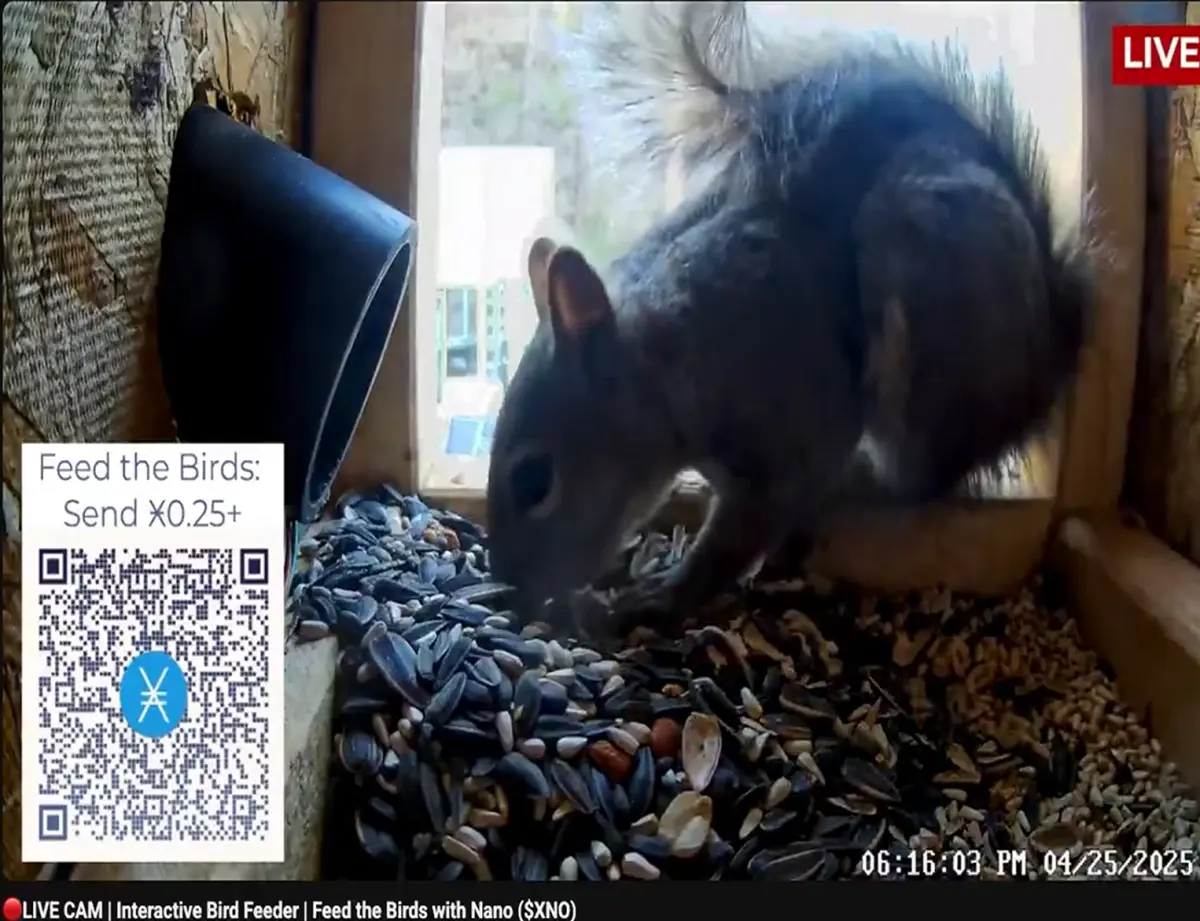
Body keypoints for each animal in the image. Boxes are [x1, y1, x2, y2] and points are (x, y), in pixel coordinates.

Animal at [484, 1, 1100, 624]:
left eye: (534, 480)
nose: (511, 594)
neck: (679, 352)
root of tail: (1048, 354)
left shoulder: (794, 423)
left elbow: (745, 529)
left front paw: (663, 593)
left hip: (925, 284)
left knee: (925, 475)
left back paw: (865, 480)